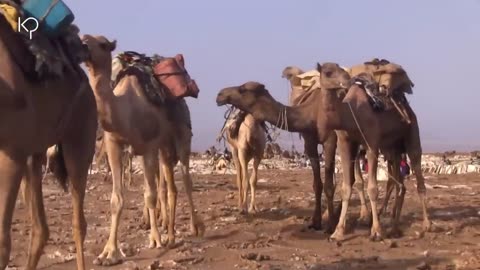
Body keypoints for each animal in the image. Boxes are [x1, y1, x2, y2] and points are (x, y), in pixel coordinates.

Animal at [0, 15, 96, 270]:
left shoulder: (11, 154)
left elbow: (2, 242)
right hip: (35, 151)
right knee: (40, 229)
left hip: (80, 135)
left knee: (78, 222)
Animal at [82, 34, 202, 266]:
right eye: (81, 38)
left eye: (102, 44)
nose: (82, 47)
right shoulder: (114, 145)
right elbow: (117, 199)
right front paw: (108, 252)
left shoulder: (149, 146)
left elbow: (150, 195)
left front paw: (155, 239)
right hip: (164, 148)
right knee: (170, 186)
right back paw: (170, 233)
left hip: (182, 136)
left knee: (185, 179)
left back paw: (194, 228)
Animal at [217, 62, 432, 240]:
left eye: (243, 89)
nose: (220, 94)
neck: (313, 112)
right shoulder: (311, 142)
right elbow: (317, 184)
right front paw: (317, 221)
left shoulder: (331, 140)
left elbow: (330, 184)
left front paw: (331, 225)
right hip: (390, 147)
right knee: (394, 181)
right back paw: (387, 221)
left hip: (409, 137)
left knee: (411, 174)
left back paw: (421, 224)